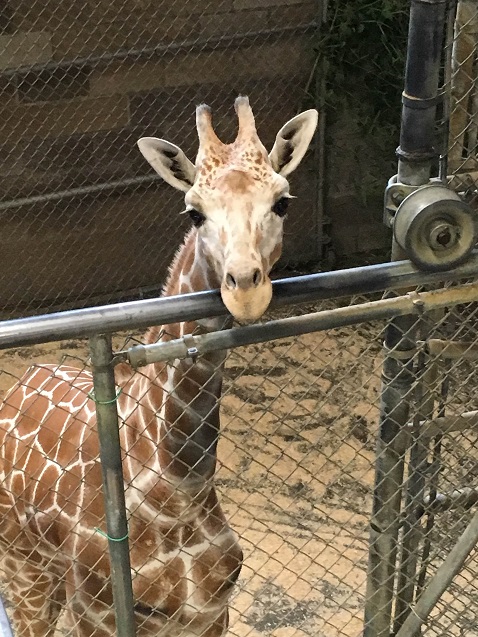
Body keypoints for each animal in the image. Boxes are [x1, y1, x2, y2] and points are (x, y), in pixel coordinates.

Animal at [0, 95, 318, 636]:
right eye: (194, 212)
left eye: (283, 202)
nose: (246, 289)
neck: (181, 488)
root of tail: (21, 379)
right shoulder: (100, 614)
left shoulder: (210, 615)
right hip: (25, 571)